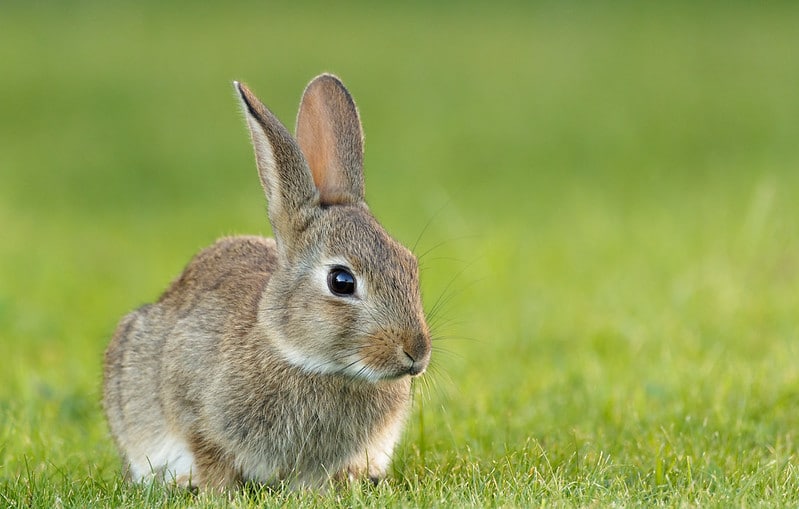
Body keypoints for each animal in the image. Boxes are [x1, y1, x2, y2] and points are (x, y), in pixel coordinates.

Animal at [105, 73, 434, 490]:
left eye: (410, 266)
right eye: (341, 281)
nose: (417, 352)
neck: (302, 357)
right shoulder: (192, 405)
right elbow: (209, 454)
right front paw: (219, 492)